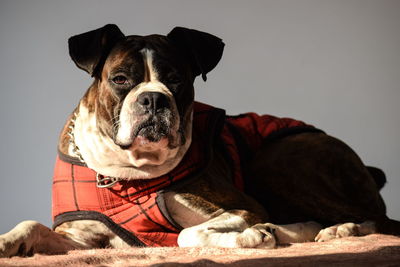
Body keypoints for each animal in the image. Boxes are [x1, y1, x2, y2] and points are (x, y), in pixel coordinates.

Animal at [0, 25, 400, 258]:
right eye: (120, 79)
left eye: (176, 79)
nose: (154, 99)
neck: (130, 176)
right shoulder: (83, 238)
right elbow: (34, 226)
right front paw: (7, 241)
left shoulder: (242, 207)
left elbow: (185, 236)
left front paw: (248, 238)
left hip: (276, 161)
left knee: (381, 219)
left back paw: (334, 229)